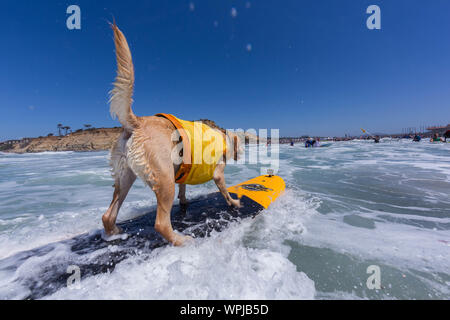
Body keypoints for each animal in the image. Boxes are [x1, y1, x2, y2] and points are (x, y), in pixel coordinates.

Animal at [102, 23, 241, 246]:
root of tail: (138, 121)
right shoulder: (218, 173)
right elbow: (223, 188)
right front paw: (234, 203)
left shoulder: (184, 170)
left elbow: (183, 188)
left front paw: (184, 202)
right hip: (164, 179)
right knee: (161, 223)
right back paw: (181, 240)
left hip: (125, 177)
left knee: (108, 215)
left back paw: (114, 232)